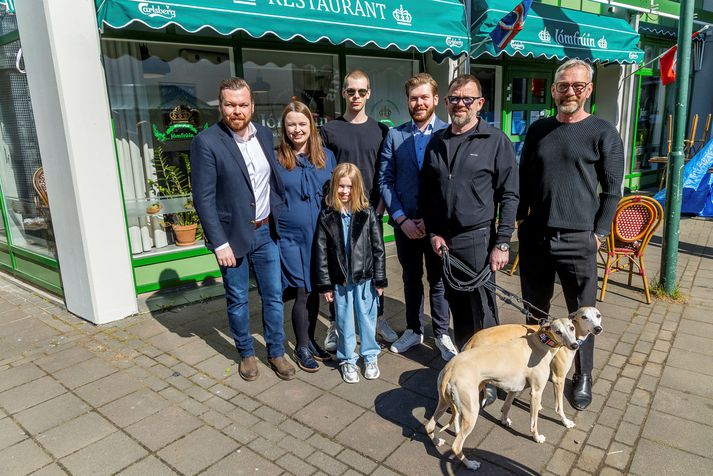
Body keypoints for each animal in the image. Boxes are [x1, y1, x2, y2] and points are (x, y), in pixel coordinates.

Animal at [422, 316, 580, 472]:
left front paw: (504, 421)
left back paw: (438, 441)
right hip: (471, 410)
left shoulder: (514, 388)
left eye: (572, 327)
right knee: (456, 445)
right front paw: (538, 436)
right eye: (558, 331)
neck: (540, 344)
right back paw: (470, 464)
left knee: (430, 426)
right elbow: (535, 420)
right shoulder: (536, 392)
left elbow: (507, 406)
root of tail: (450, 369)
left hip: (446, 403)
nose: (574, 345)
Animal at [462, 306, 600, 430]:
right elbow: (559, 406)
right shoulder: (558, 378)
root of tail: (471, 341)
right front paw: (565, 422)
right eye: (584, 316)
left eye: (598, 315)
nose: (598, 329)